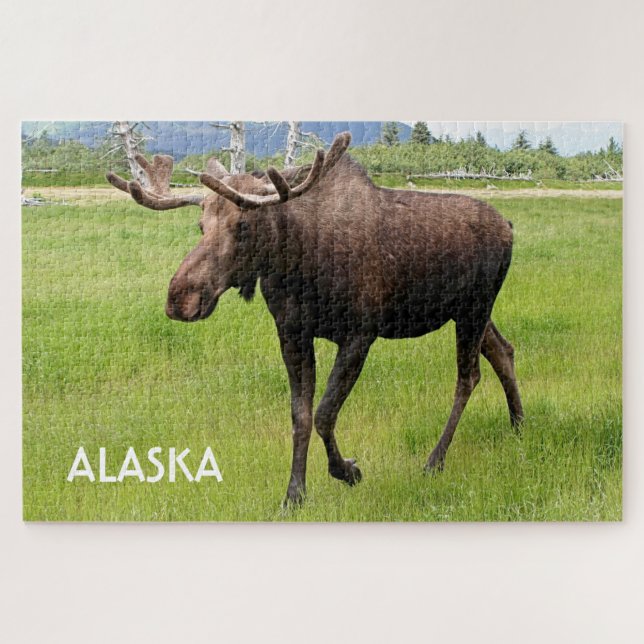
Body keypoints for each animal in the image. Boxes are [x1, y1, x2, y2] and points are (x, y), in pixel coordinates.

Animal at [107, 132, 524, 505]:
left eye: (242, 225)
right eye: (200, 225)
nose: (181, 298)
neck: (298, 267)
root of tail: (509, 226)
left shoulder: (360, 334)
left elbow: (324, 413)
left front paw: (348, 471)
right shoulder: (292, 333)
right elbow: (300, 416)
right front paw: (294, 493)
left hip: (474, 308)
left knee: (468, 376)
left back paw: (436, 459)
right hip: (466, 310)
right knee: (503, 350)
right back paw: (518, 425)